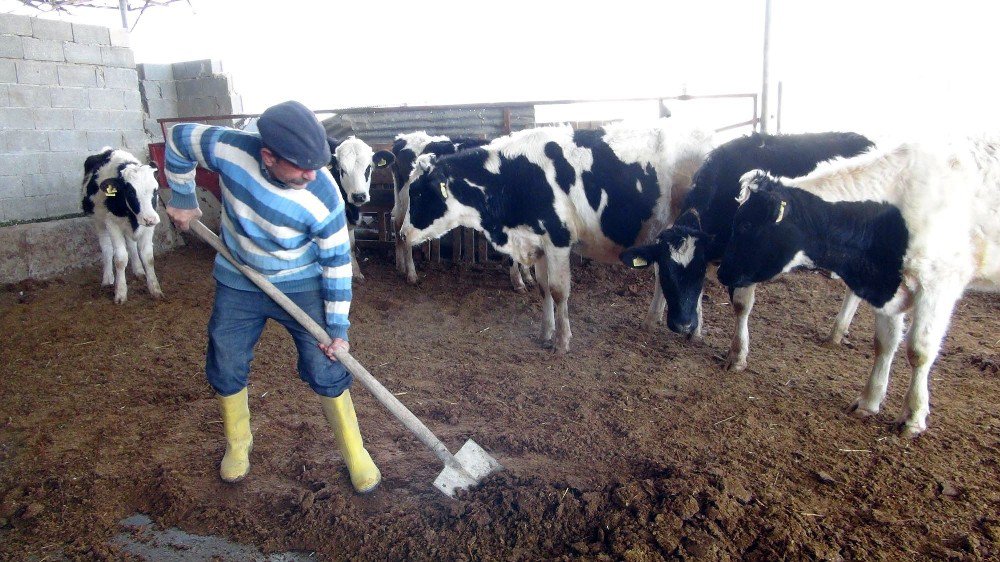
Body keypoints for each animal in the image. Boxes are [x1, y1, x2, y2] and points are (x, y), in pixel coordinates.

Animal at [81, 145, 164, 302]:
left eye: (155, 190)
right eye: (131, 192)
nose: (150, 219)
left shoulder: (148, 227)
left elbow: (148, 257)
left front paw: (155, 289)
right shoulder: (112, 223)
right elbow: (120, 258)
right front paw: (120, 293)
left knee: (131, 245)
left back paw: (139, 270)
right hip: (99, 221)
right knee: (107, 249)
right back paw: (107, 279)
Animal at [396, 120, 712, 352]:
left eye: (420, 193)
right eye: (412, 191)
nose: (403, 233)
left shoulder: (558, 240)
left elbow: (559, 290)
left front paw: (562, 341)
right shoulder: (536, 242)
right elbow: (543, 288)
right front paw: (545, 332)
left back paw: (693, 330)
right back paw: (654, 319)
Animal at [616, 130, 876, 368]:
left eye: (698, 272)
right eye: (667, 274)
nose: (682, 324)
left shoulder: (744, 261)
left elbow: (741, 305)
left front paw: (737, 355)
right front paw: (695, 330)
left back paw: (836, 331)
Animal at [716, 137, 1000, 438]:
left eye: (745, 225)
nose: (723, 272)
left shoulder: (938, 283)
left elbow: (919, 350)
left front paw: (912, 416)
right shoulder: (885, 287)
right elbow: (884, 343)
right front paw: (869, 401)